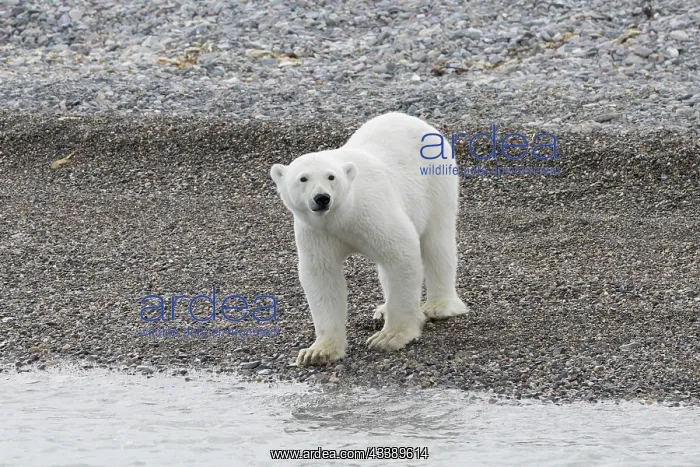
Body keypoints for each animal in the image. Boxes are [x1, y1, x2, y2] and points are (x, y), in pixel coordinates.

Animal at [270, 112, 468, 366]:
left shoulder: (371, 211)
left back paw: (439, 306)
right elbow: (322, 275)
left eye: (331, 177)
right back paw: (383, 309)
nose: (322, 198)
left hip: (436, 181)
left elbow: (401, 252)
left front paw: (390, 336)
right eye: (303, 178)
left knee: (436, 243)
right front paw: (318, 351)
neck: (341, 217)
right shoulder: (316, 232)